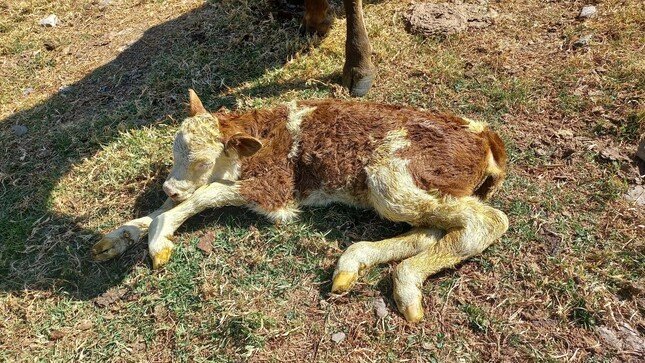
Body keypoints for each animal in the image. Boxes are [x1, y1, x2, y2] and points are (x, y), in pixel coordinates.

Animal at [94, 89, 508, 322]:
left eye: (199, 160)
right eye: (174, 152)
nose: (168, 184)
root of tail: (485, 136)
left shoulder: (275, 189)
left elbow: (203, 195)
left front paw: (158, 239)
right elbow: (167, 206)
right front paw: (120, 236)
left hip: (390, 176)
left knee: (486, 221)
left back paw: (405, 283)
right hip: (411, 189)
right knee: (430, 230)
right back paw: (353, 264)